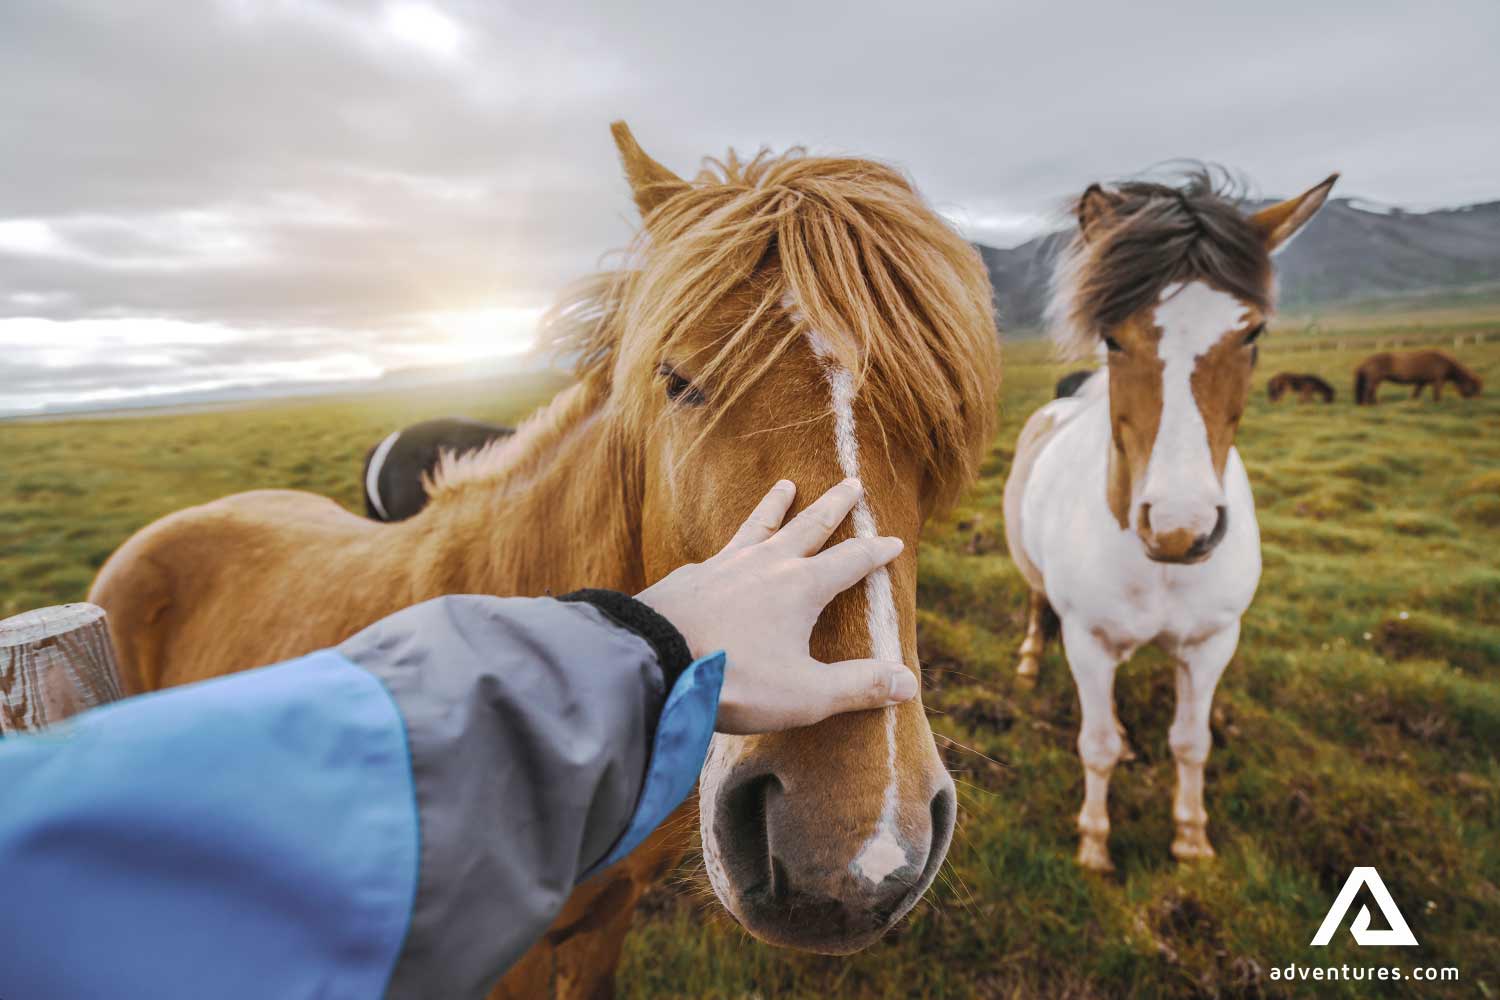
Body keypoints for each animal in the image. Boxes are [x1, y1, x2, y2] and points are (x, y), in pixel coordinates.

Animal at [1002, 169, 1336, 871]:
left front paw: (1191, 837)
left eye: (1252, 334)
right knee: (1037, 603)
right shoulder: (1088, 643)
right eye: (1112, 337)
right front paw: (1094, 847)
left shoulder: (1212, 644)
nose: (1182, 528)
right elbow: (1095, 745)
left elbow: (1191, 742)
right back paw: (1027, 662)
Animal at [1354, 349, 1482, 404]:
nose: (1476, 401)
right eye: (1474, 387)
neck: (1445, 363)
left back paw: (1375, 403)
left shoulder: (1422, 381)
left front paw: (1412, 402)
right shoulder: (1437, 381)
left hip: (1377, 381)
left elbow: (1416, 393)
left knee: (1372, 392)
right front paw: (1438, 403)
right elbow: (1437, 393)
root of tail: (1364, 362)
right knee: (1367, 391)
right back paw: (1367, 404)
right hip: (1373, 381)